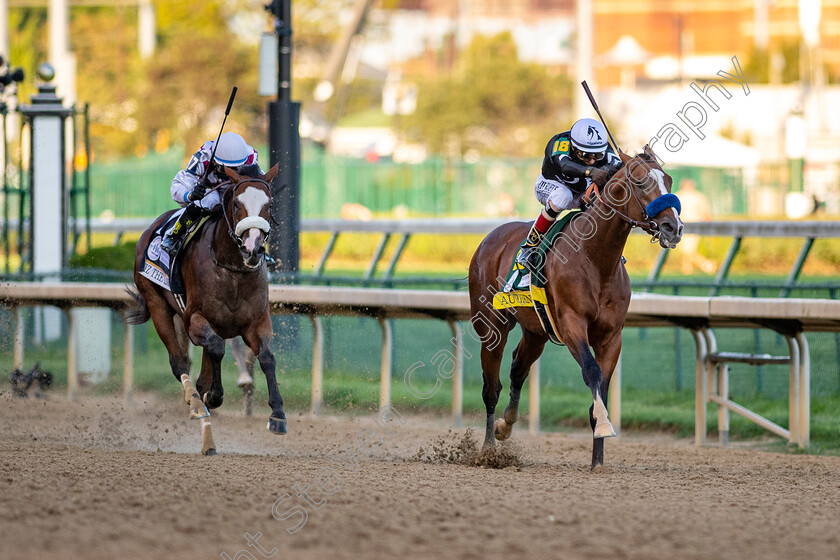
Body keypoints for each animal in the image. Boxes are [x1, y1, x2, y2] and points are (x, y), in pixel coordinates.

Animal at [126, 163, 288, 456]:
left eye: (269, 204)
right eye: (236, 203)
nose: (253, 249)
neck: (233, 270)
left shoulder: (257, 323)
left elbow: (267, 358)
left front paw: (278, 415)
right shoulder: (194, 319)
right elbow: (215, 350)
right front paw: (213, 395)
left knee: (205, 364)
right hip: (157, 305)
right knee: (180, 362)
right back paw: (197, 407)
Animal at [470, 145, 684, 468]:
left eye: (668, 180)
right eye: (639, 181)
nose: (674, 227)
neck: (595, 260)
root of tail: (490, 238)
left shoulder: (612, 336)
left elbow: (603, 388)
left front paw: (598, 460)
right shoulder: (572, 325)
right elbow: (592, 372)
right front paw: (605, 426)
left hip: (537, 331)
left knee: (518, 368)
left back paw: (505, 425)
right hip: (491, 325)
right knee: (490, 387)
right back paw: (488, 450)